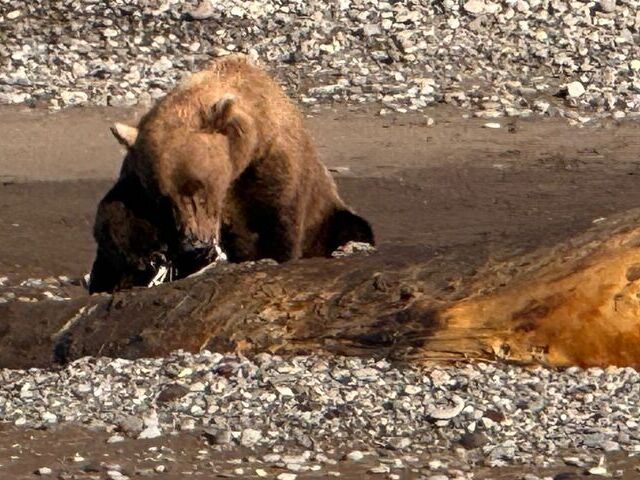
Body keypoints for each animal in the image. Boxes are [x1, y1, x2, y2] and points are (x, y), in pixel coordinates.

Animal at [89, 55, 374, 293]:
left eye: (199, 188)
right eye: (162, 199)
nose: (195, 243)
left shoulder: (270, 170)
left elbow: (275, 226)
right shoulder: (136, 177)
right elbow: (117, 214)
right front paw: (146, 257)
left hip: (328, 216)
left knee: (352, 227)